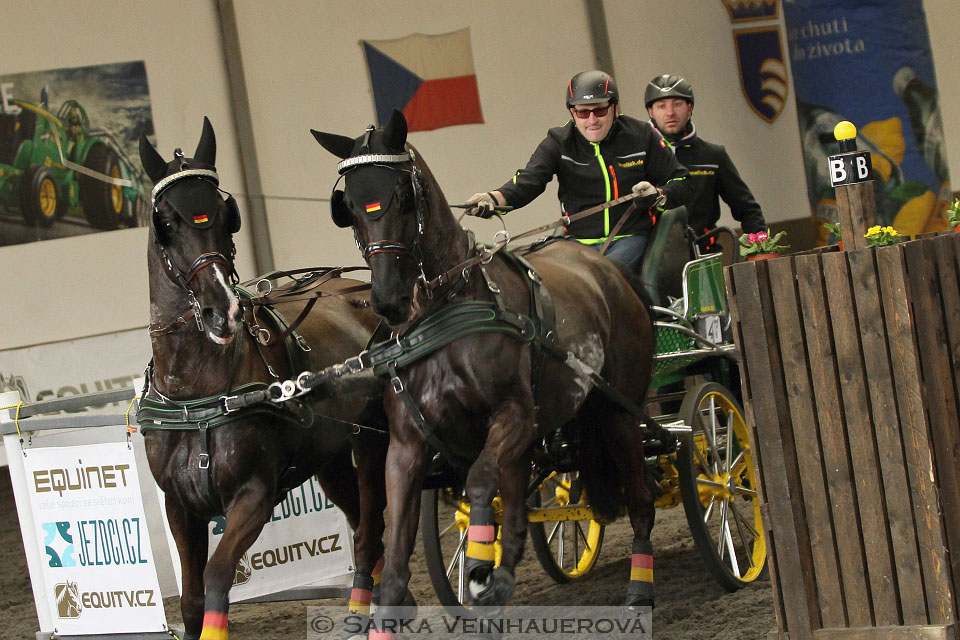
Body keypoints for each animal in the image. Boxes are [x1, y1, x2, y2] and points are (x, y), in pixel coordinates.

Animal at [136, 119, 390, 640]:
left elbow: (217, 575)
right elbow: (191, 599)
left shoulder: (253, 495)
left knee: (372, 534)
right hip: (331, 459)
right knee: (362, 530)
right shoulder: (180, 506)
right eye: (165, 221)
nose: (223, 310)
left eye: (223, 213)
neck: (197, 395)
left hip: (372, 442)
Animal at [314, 111, 668, 632]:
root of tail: (604, 265)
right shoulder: (406, 445)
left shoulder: (513, 414)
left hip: (619, 413)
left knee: (641, 502)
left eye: (404, 195)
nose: (388, 299)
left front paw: (480, 567)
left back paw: (639, 591)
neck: (445, 309)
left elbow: (481, 481)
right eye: (350, 206)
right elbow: (395, 568)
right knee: (519, 516)